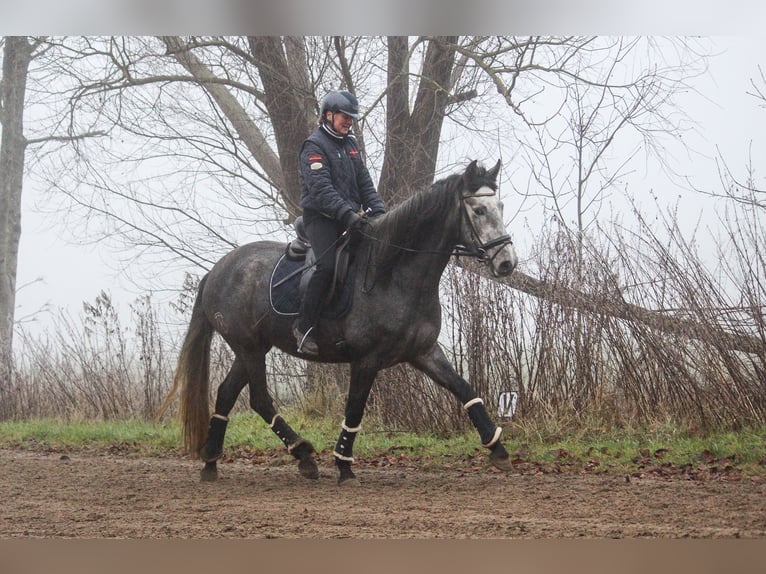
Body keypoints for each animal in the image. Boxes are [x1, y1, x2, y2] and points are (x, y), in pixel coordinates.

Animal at [164, 161, 520, 486]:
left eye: (500, 206)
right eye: (478, 210)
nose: (506, 263)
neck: (393, 274)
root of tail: (218, 269)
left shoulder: (424, 352)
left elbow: (465, 390)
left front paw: (497, 448)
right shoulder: (366, 360)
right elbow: (354, 410)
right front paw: (344, 465)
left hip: (251, 348)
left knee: (226, 393)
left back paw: (213, 463)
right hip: (248, 347)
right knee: (259, 399)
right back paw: (302, 453)